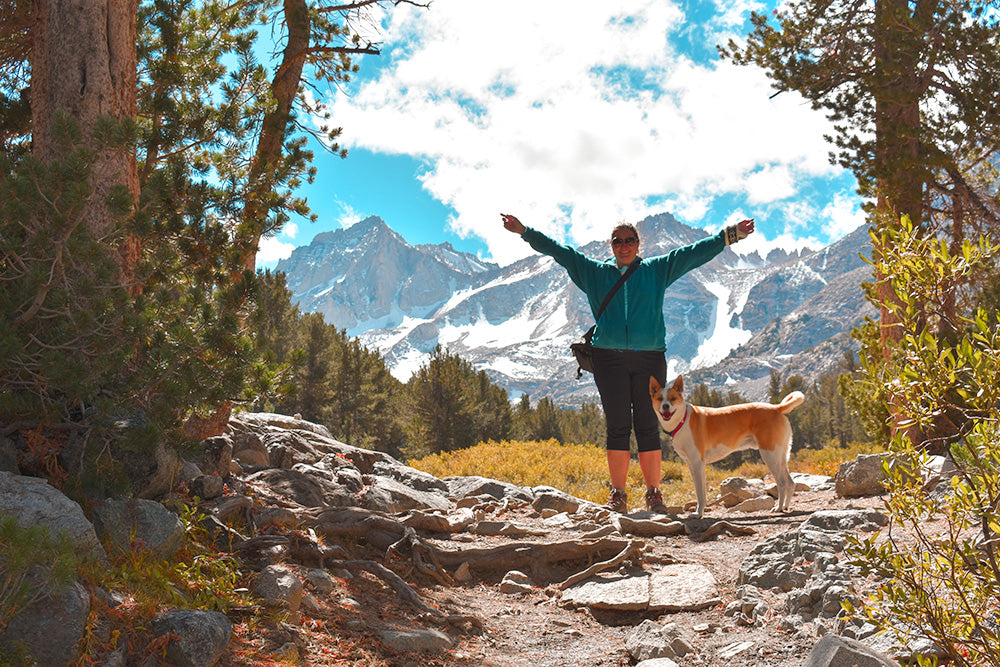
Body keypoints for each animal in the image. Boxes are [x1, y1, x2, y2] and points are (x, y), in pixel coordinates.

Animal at [648, 376, 804, 516]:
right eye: (660, 399)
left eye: (673, 398)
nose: (665, 406)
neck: (682, 420)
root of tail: (776, 408)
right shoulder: (691, 464)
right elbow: (699, 491)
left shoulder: (697, 463)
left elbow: (700, 493)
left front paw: (698, 513)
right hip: (781, 455)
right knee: (790, 482)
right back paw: (785, 506)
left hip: (770, 455)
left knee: (782, 482)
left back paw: (779, 508)